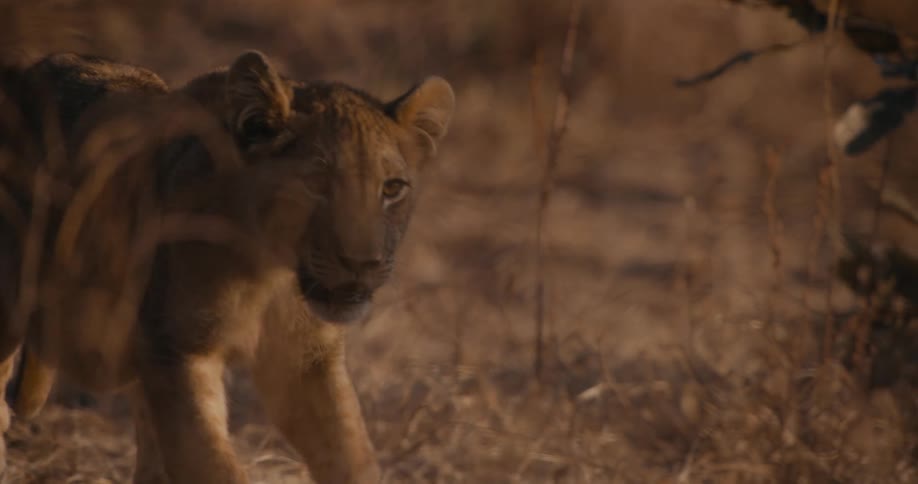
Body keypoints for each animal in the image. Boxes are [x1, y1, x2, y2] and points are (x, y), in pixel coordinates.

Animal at [0, 50, 454, 484]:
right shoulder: (179, 352)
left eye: (391, 189)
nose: (363, 263)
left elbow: (351, 455)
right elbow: (212, 465)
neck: (271, 273)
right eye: (317, 185)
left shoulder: (306, 363)